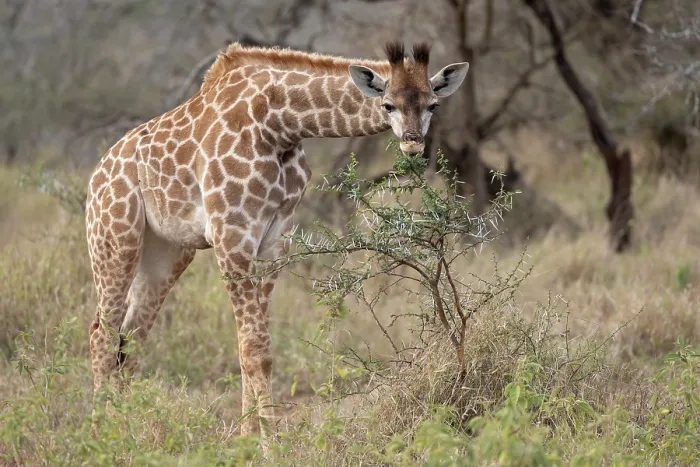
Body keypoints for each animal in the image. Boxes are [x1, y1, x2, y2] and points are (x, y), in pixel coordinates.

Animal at [85, 40, 469, 438]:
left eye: (433, 104)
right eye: (387, 104)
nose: (413, 144)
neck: (279, 124)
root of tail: (98, 172)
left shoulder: (274, 241)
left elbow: (255, 349)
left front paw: (247, 440)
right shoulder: (231, 235)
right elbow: (254, 349)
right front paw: (269, 443)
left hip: (168, 251)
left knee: (131, 339)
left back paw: (126, 430)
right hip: (115, 237)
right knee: (101, 332)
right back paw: (99, 434)